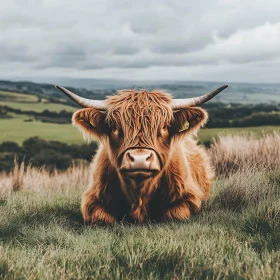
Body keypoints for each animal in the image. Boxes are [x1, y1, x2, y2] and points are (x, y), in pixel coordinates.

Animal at [56, 85, 228, 223]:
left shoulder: (189, 198)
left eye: (164, 127)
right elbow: (104, 218)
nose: (139, 159)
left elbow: (174, 215)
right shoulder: (92, 200)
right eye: (115, 128)